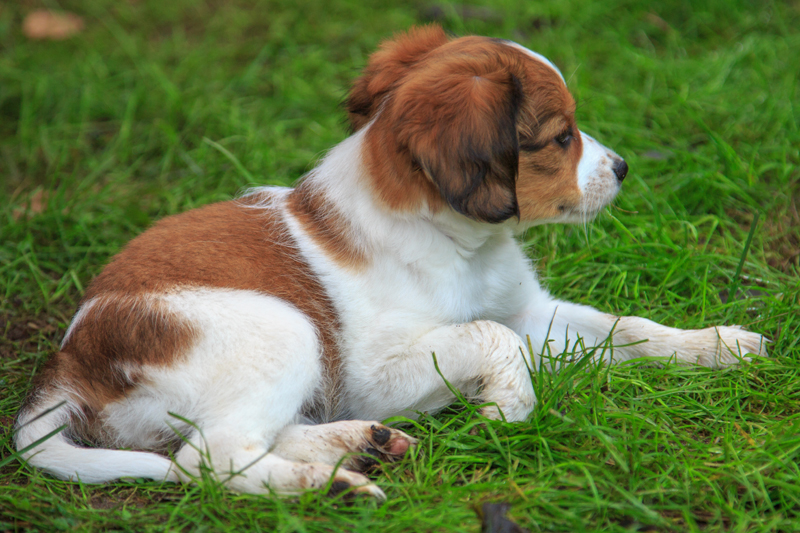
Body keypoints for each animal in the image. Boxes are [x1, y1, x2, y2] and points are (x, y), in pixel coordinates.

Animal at [15, 26, 764, 498]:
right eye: (560, 137)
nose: (623, 168)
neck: (462, 244)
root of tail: (70, 361)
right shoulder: (379, 370)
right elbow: (490, 337)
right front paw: (508, 408)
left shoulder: (530, 311)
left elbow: (626, 328)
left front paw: (720, 345)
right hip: (289, 332)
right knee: (209, 458)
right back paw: (324, 486)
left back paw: (361, 446)